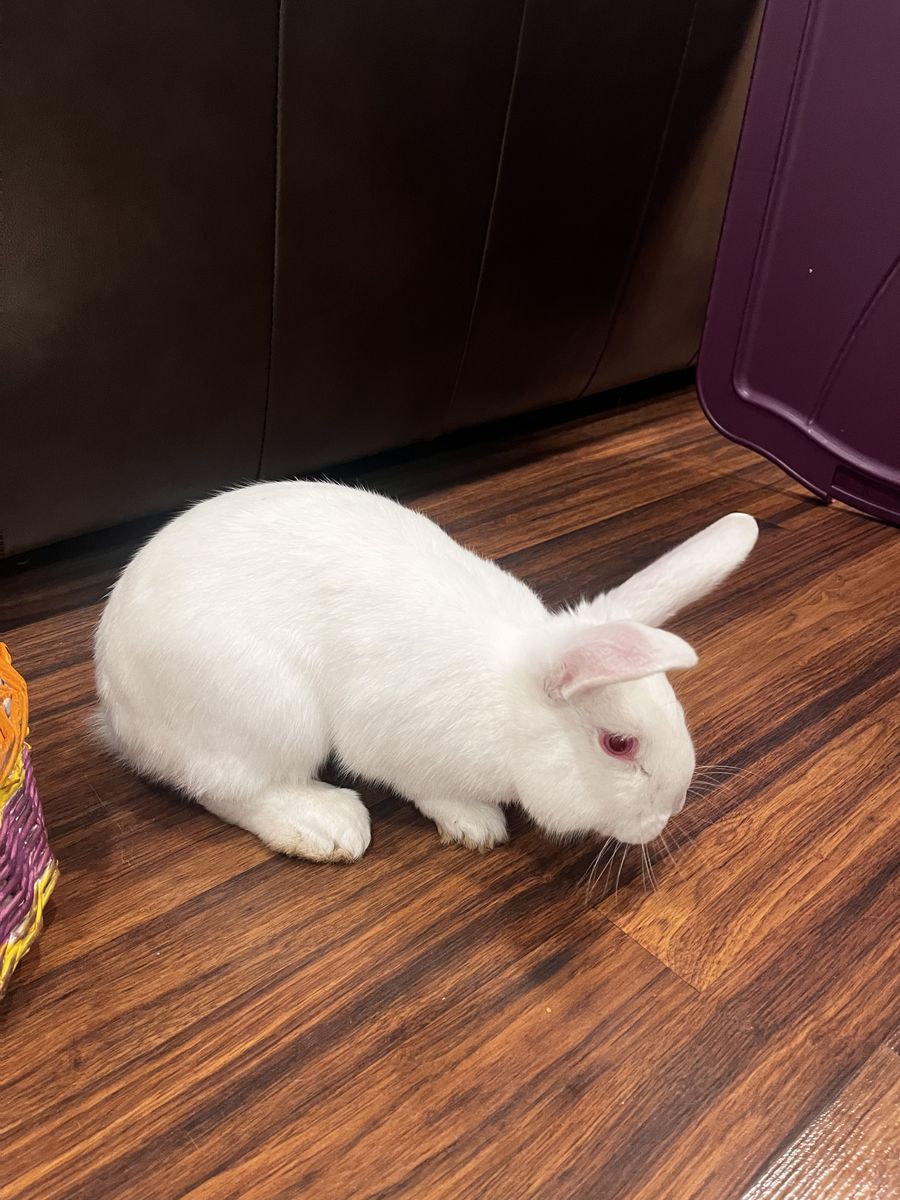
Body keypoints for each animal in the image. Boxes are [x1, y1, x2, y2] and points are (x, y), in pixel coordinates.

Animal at [94, 481, 758, 862]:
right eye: (619, 745)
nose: (669, 811)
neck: (509, 706)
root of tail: (116, 710)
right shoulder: (394, 741)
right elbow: (428, 788)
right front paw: (477, 825)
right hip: (265, 715)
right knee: (231, 789)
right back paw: (327, 827)